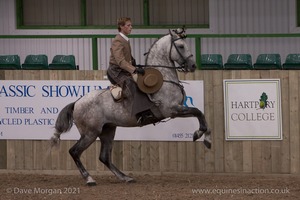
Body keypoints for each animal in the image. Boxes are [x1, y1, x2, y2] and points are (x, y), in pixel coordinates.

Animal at [50, 28, 211, 186]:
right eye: (181, 46)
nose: (193, 66)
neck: (164, 80)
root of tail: (77, 102)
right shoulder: (172, 110)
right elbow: (198, 112)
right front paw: (198, 134)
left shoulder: (177, 109)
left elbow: (201, 116)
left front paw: (207, 139)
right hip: (90, 133)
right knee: (74, 152)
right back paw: (89, 179)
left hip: (107, 131)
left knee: (104, 157)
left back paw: (125, 177)